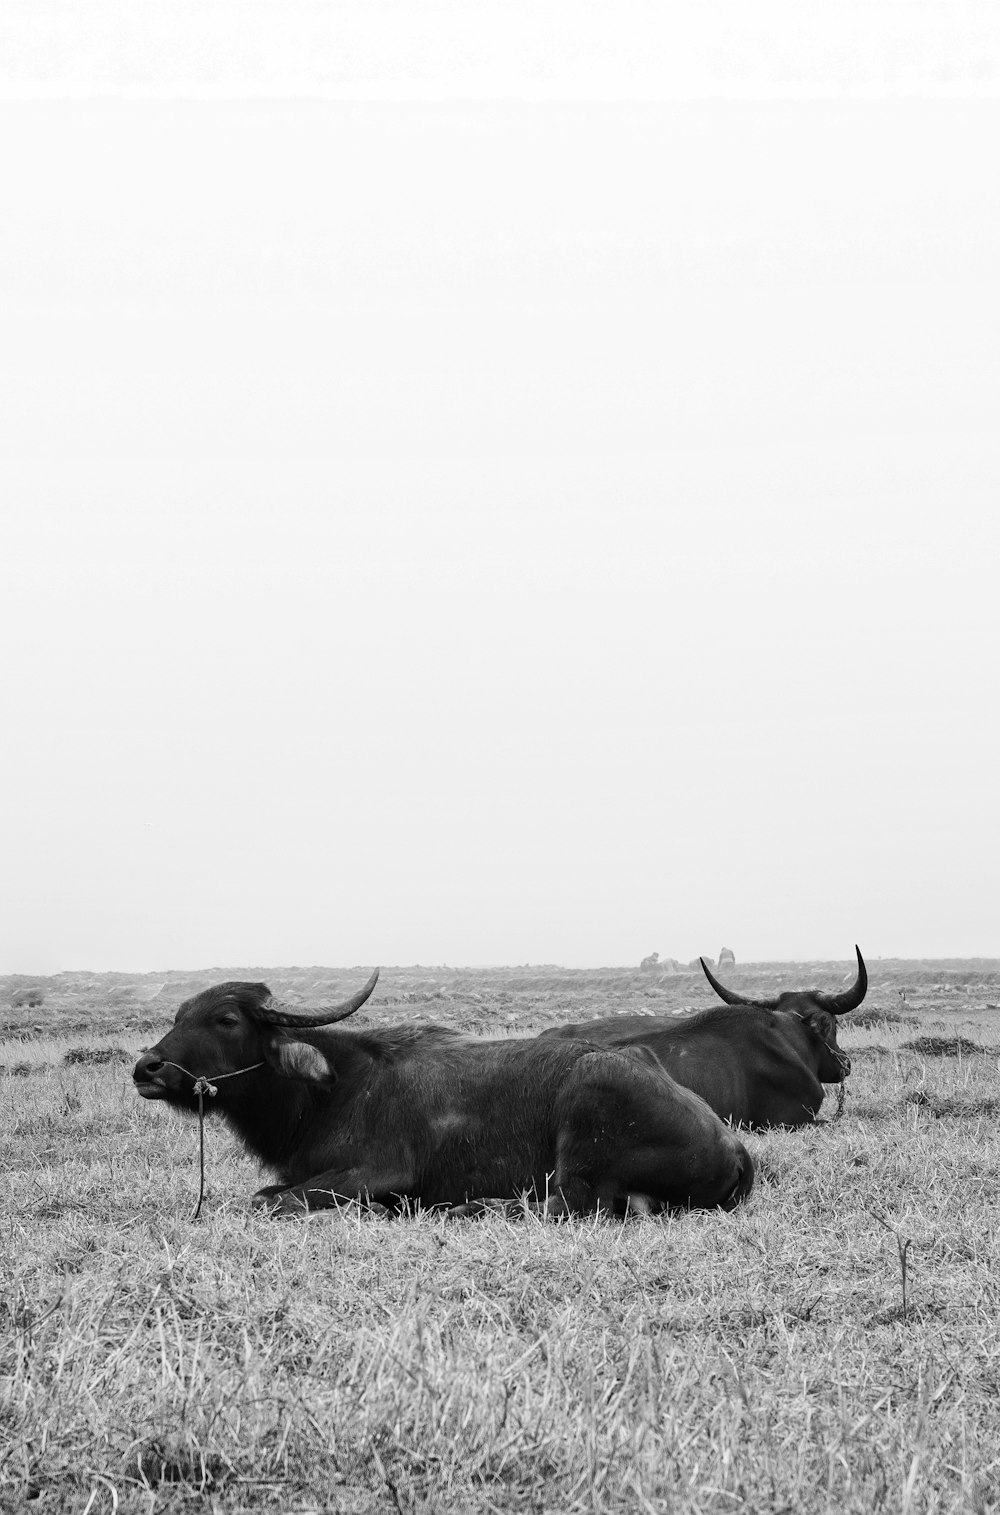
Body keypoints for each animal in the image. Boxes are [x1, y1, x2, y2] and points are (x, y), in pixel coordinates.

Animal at [132, 969, 754, 1218]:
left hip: (584, 1110)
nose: (147, 1067)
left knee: (570, 1205)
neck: (333, 1091)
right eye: (180, 1013)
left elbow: (269, 1199)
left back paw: (475, 1207)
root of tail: (735, 1150)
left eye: (227, 1019)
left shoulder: (380, 1172)